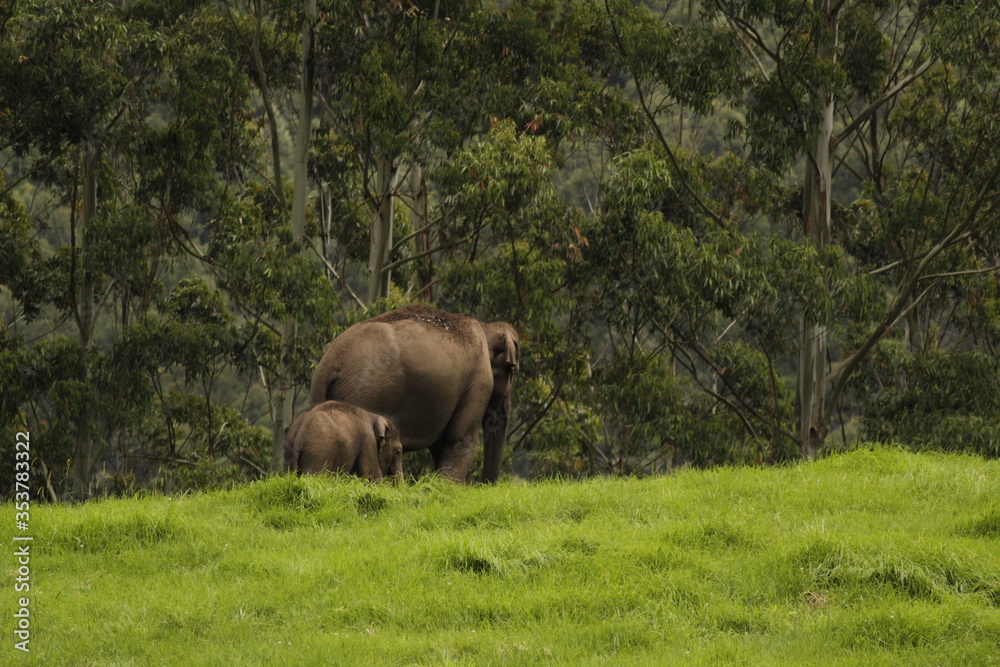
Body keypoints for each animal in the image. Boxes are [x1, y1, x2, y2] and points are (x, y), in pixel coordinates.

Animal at [309, 304, 519, 483]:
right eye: (512, 370)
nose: (487, 484)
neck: (486, 328)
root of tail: (328, 365)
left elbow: (441, 445)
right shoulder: (479, 380)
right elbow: (460, 438)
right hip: (364, 393)